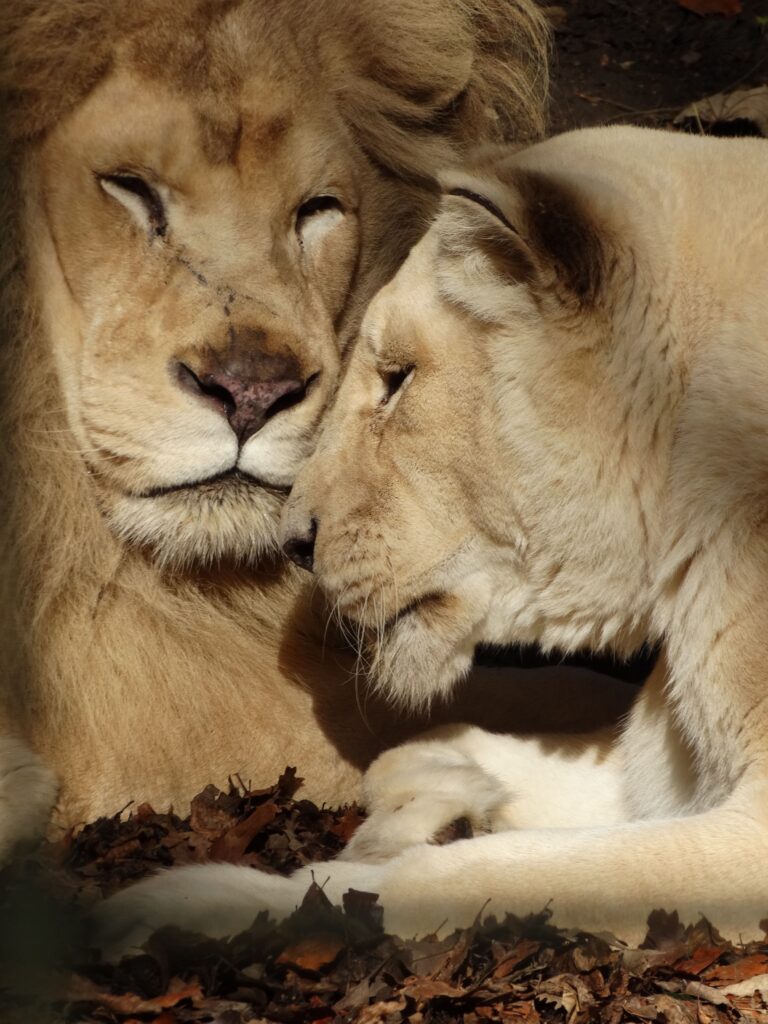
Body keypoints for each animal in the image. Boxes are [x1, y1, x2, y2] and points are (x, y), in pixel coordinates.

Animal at [99, 123, 768, 946]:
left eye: (397, 378)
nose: (296, 540)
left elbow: (454, 880)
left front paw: (189, 905)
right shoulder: (657, 777)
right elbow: (413, 751)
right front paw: (453, 792)